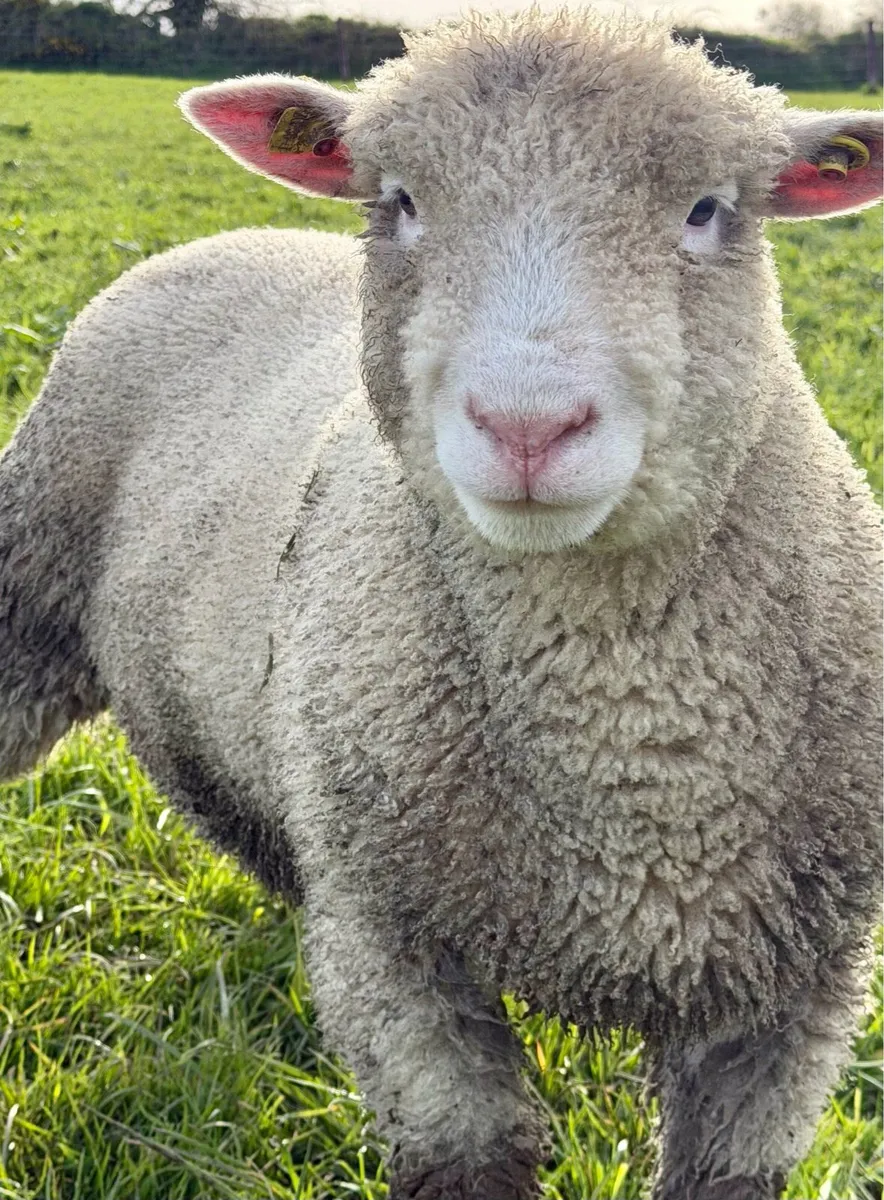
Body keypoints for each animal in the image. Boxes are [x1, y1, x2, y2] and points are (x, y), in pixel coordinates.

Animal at [1, 9, 882, 1198]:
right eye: (403, 202)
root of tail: (228, 235)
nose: (526, 424)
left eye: (705, 211)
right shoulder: (395, 962)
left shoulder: (793, 1006)